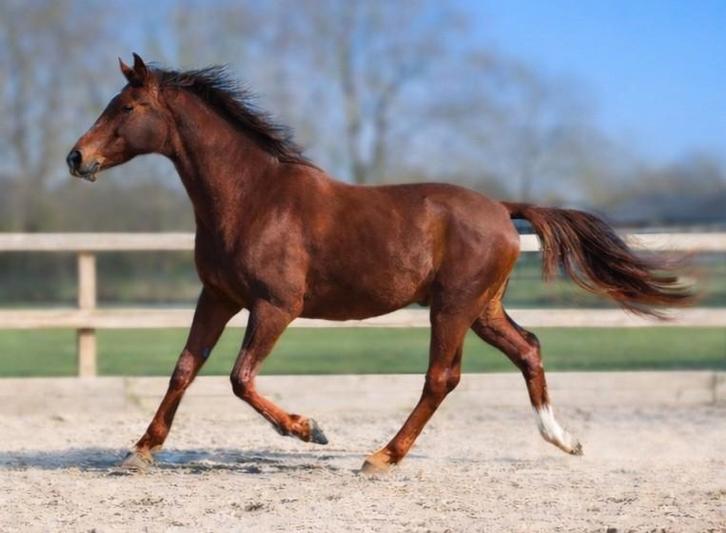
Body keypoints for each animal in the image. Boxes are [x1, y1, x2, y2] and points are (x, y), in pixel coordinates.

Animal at [67, 54, 690, 473]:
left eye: (127, 107)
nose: (77, 158)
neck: (253, 197)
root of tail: (502, 208)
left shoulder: (274, 306)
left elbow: (240, 378)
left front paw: (310, 430)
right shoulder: (217, 297)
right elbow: (185, 368)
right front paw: (140, 451)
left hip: (452, 308)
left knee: (442, 377)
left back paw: (381, 457)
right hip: (482, 309)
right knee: (529, 349)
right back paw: (563, 440)